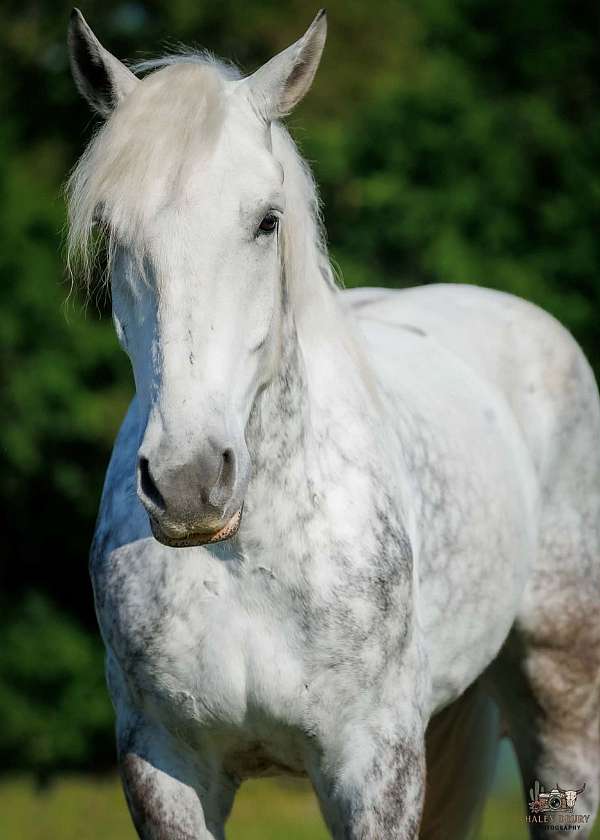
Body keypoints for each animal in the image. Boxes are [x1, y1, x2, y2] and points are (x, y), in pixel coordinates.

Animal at [66, 9, 600, 839]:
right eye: (109, 227)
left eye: (267, 220)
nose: (189, 484)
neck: (245, 554)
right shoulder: (162, 768)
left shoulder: (374, 767)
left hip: (560, 699)